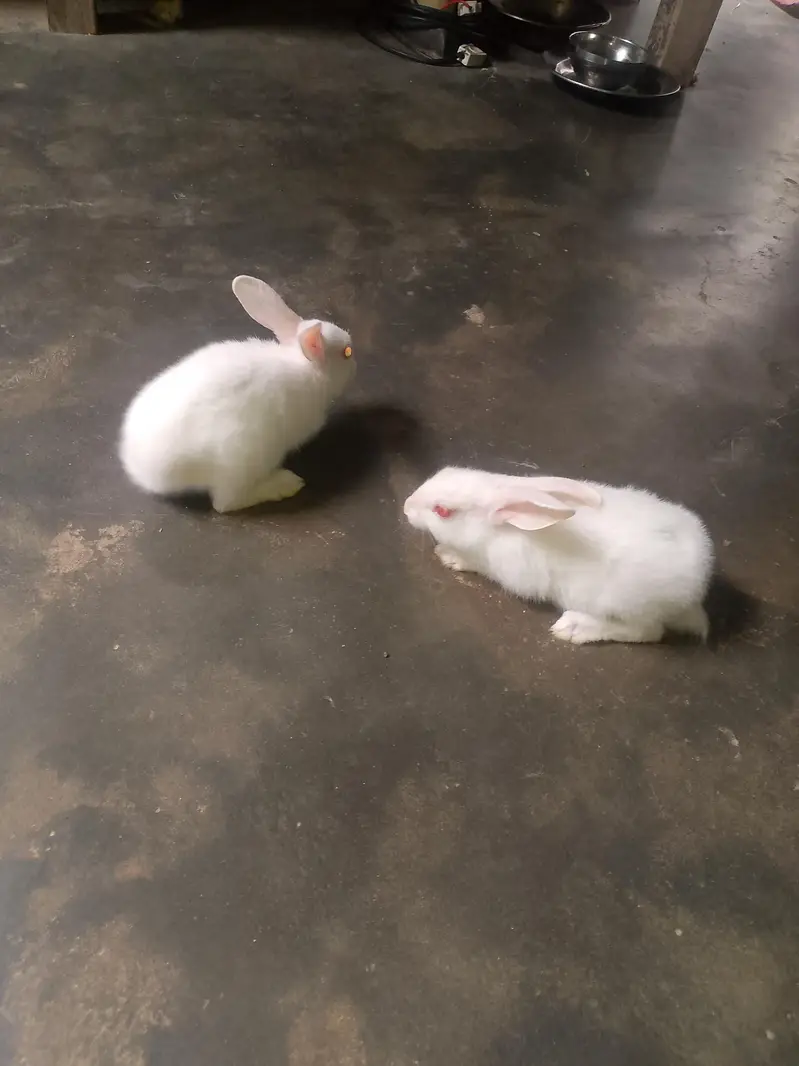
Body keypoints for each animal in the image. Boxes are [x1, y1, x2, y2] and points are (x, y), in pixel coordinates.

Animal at [119, 275, 355, 512]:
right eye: (347, 353)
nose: (352, 351)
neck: (304, 365)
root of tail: (141, 468)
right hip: (242, 457)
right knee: (225, 503)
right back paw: (284, 484)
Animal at [403, 467, 714, 645]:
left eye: (442, 511)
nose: (406, 506)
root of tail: (696, 586)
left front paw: (450, 555)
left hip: (628, 605)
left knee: (647, 632)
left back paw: (575, 627)